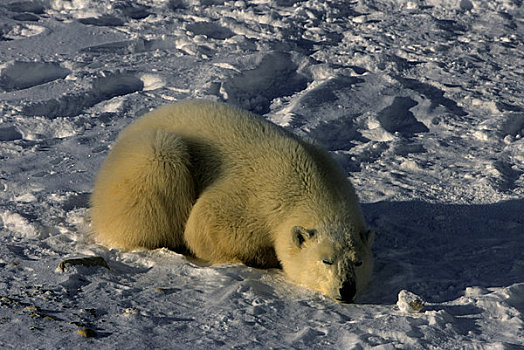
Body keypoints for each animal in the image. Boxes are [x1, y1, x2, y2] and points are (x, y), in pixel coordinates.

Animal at [92, 100, 374, 302]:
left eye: (358, 262)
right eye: (326, 260)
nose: (346, 290)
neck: (307, 177)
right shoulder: (255, 194)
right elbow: (203, 226)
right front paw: (263, 256)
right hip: (150, 156)